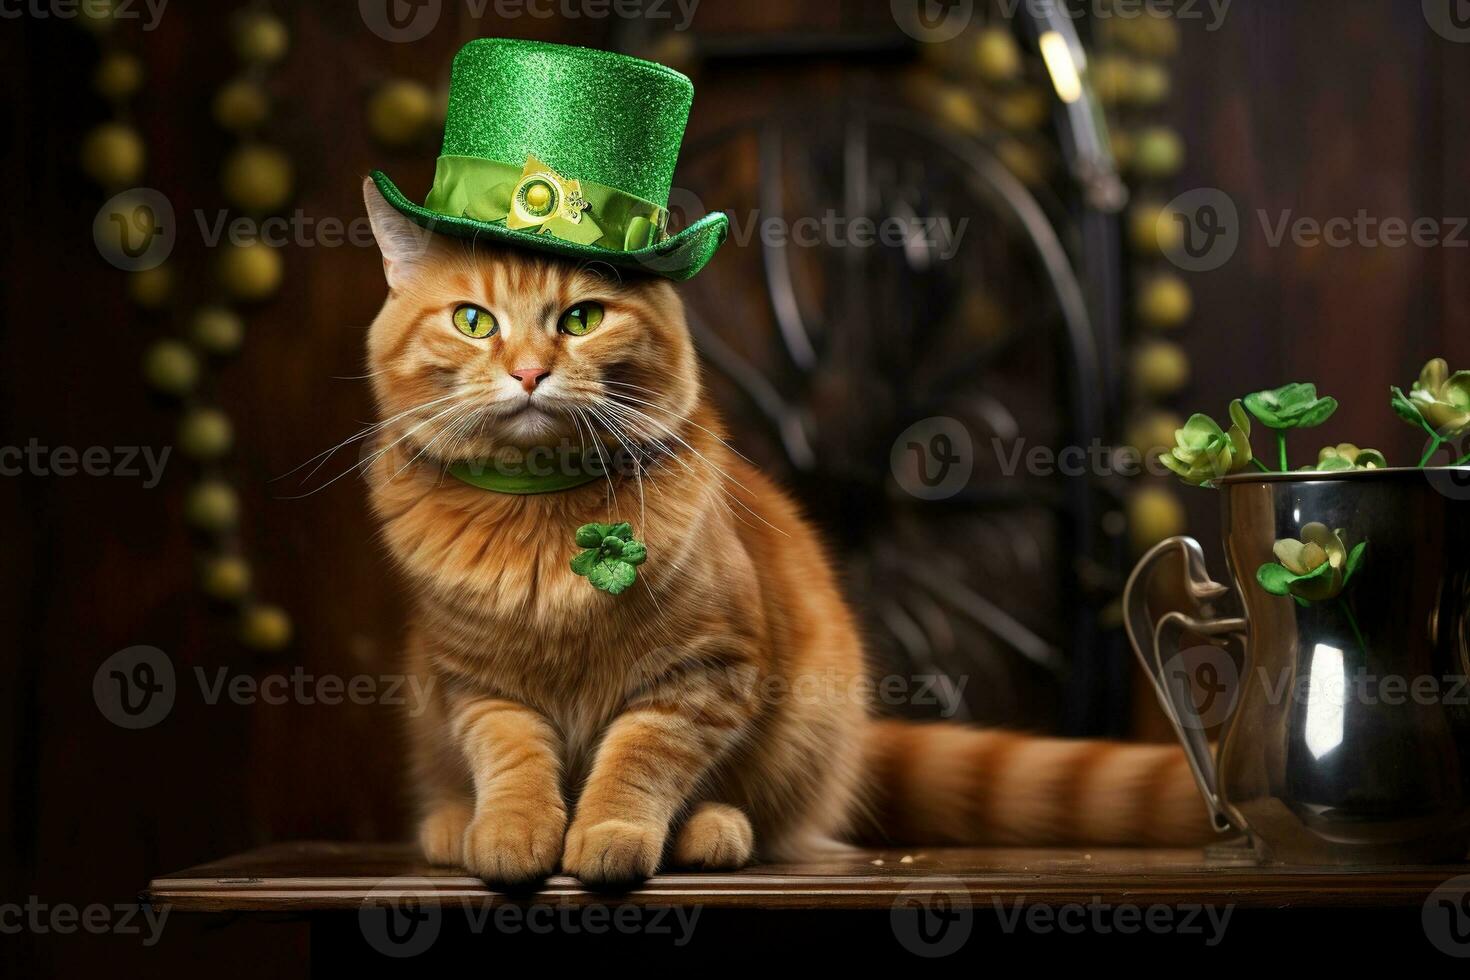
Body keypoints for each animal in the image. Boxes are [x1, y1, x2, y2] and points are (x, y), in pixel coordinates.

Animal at [361, 178, 1211, 887]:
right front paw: (511, 831)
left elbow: (638, 763)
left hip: (806, 727)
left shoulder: (703, 674)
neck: (539, 517)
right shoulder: (478, 685)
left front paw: (608, 833)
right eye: (474, 322)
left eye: (582, 319)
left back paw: (711, 831)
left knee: (770, 821)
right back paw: (452, 824)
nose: (531, 372)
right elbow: (512, 761)